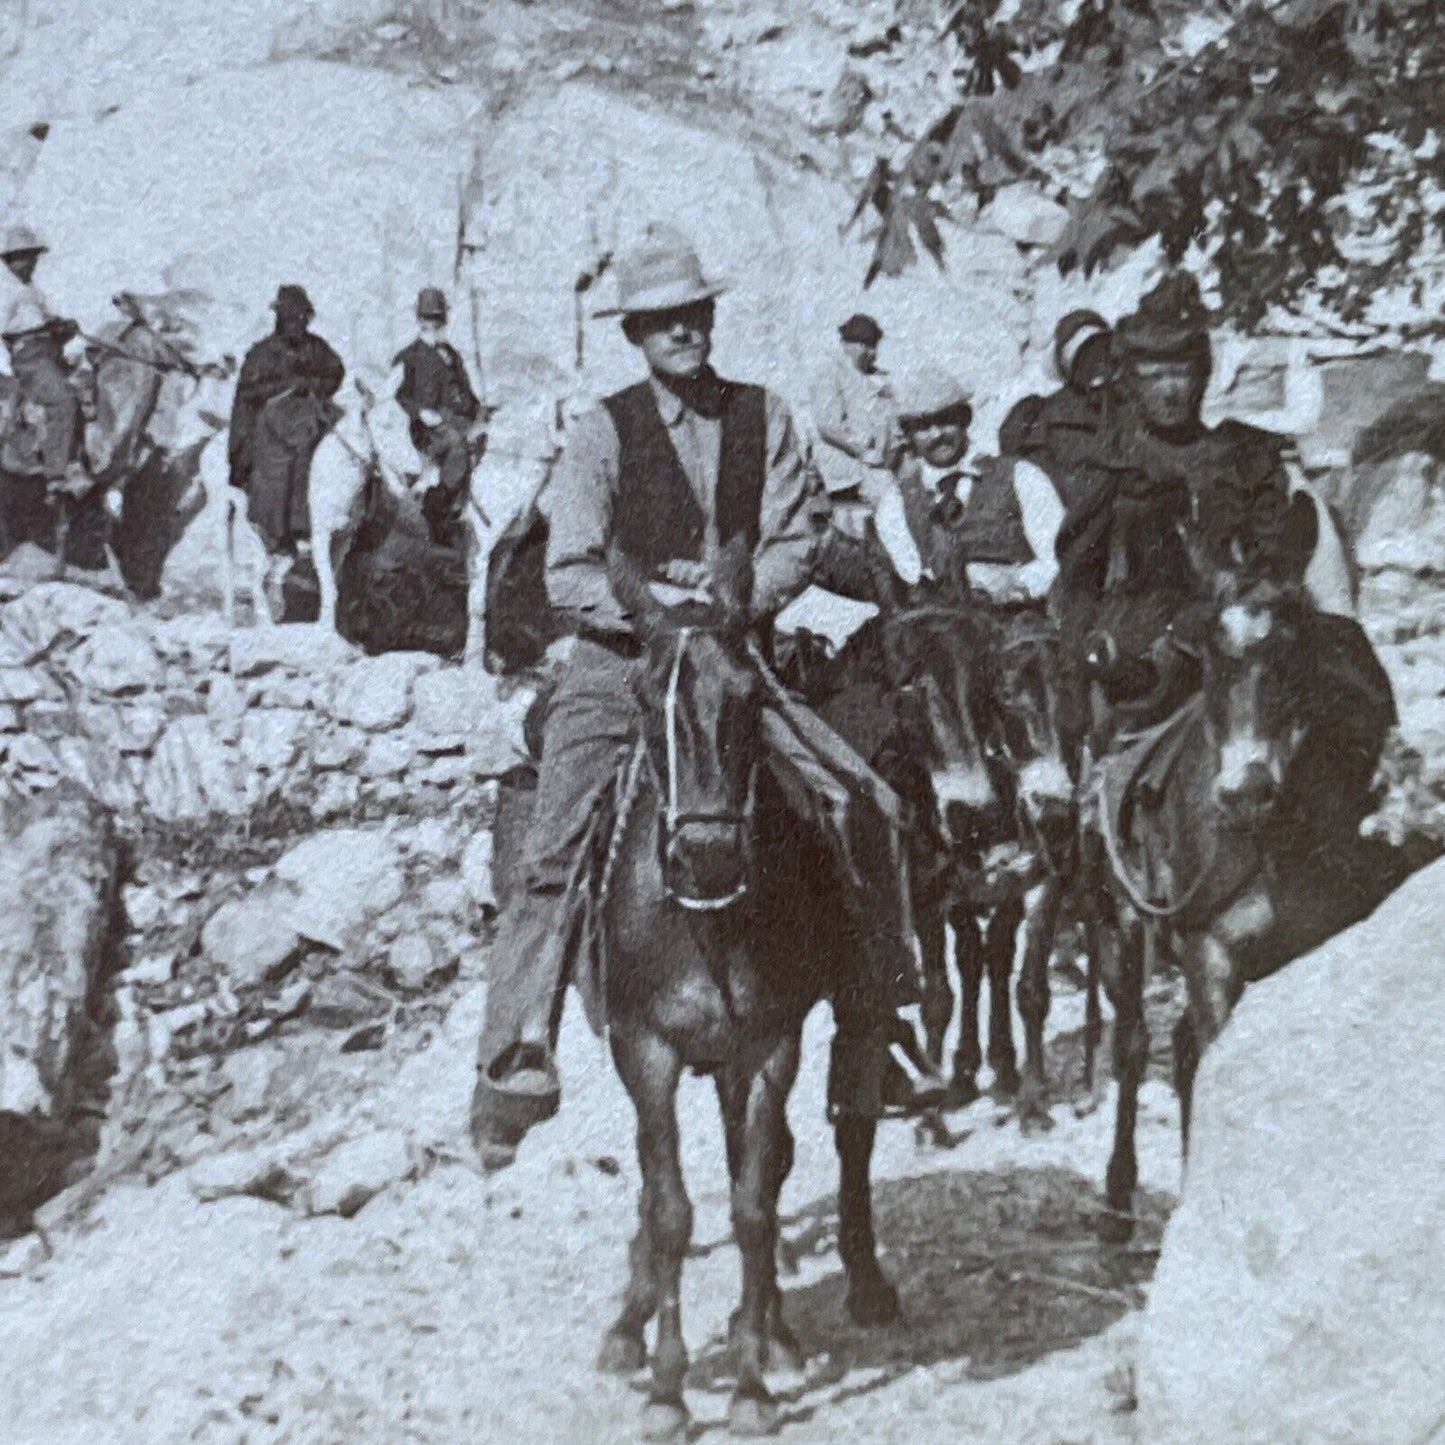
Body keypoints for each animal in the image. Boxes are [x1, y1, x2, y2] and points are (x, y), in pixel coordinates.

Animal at [1086, 563, 1421, 1242]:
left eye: (1293, 664)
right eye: (1215, 667)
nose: (1245, 791)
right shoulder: (1209, 952)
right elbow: (1219, 1059)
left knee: (1181, 1046)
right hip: (1121, 934)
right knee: (1134, 1047)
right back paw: (1118, 1198)